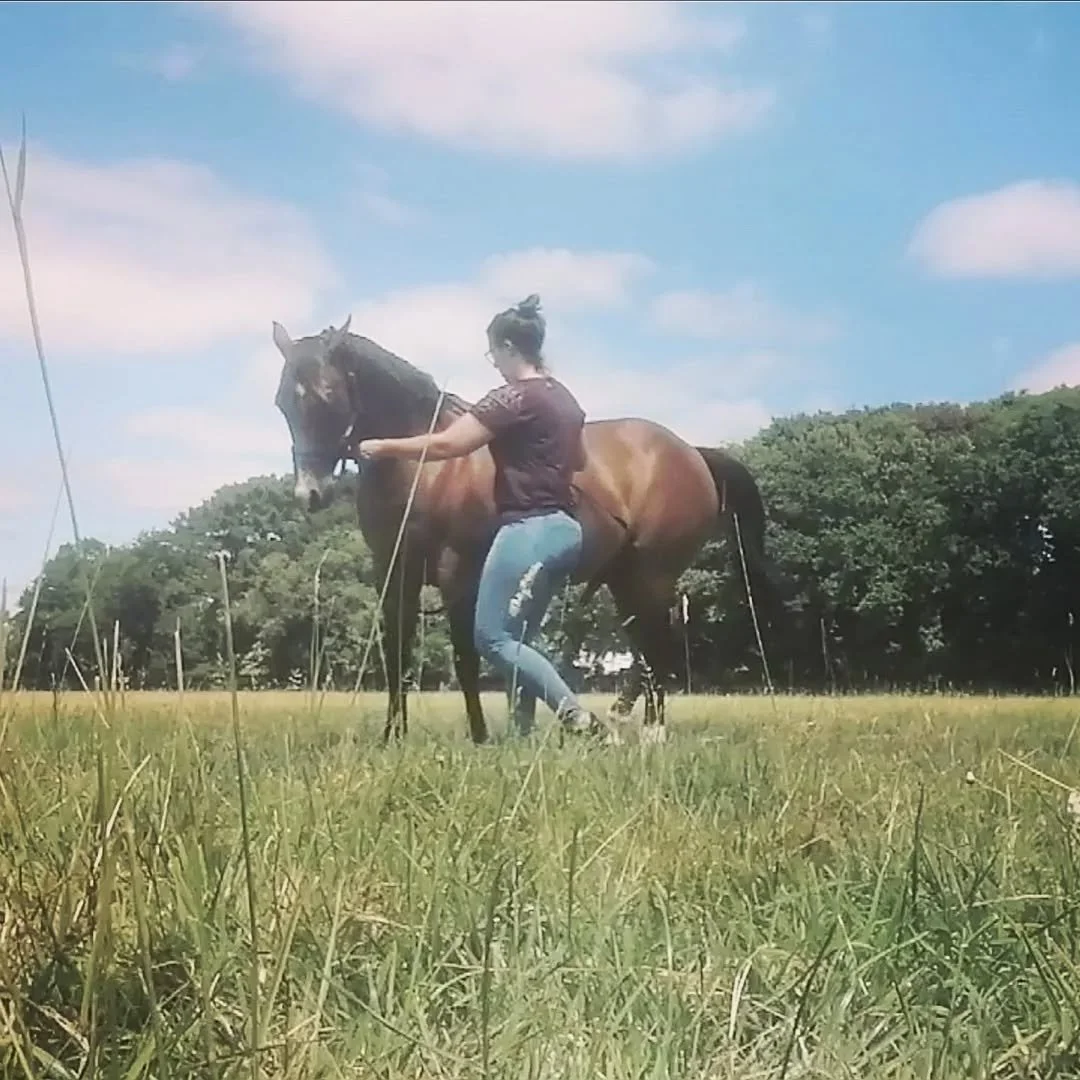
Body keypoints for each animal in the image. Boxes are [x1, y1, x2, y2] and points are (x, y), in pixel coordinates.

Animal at [271, 316, 786, 744]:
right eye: (282, 402)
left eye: (326, 393)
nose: (308, 493)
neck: (428, 467)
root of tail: (693, 452)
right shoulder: (394, 572)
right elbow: (395, 653)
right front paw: (392, 737)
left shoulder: (457, 574)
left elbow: (466, 658)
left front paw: (480, 736)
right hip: (626, 580)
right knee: (645, 647)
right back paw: (623, 718)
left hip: (651, 577)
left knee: (658, 646)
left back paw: (651, 732)